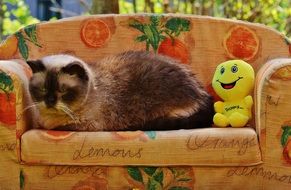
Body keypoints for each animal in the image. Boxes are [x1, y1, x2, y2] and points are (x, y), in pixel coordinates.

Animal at [26, 50, 214, 131]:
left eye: (62, 90)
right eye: (43, 89)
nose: (50, 101)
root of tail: (204, 95)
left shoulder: (87, 125)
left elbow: (53, 127)